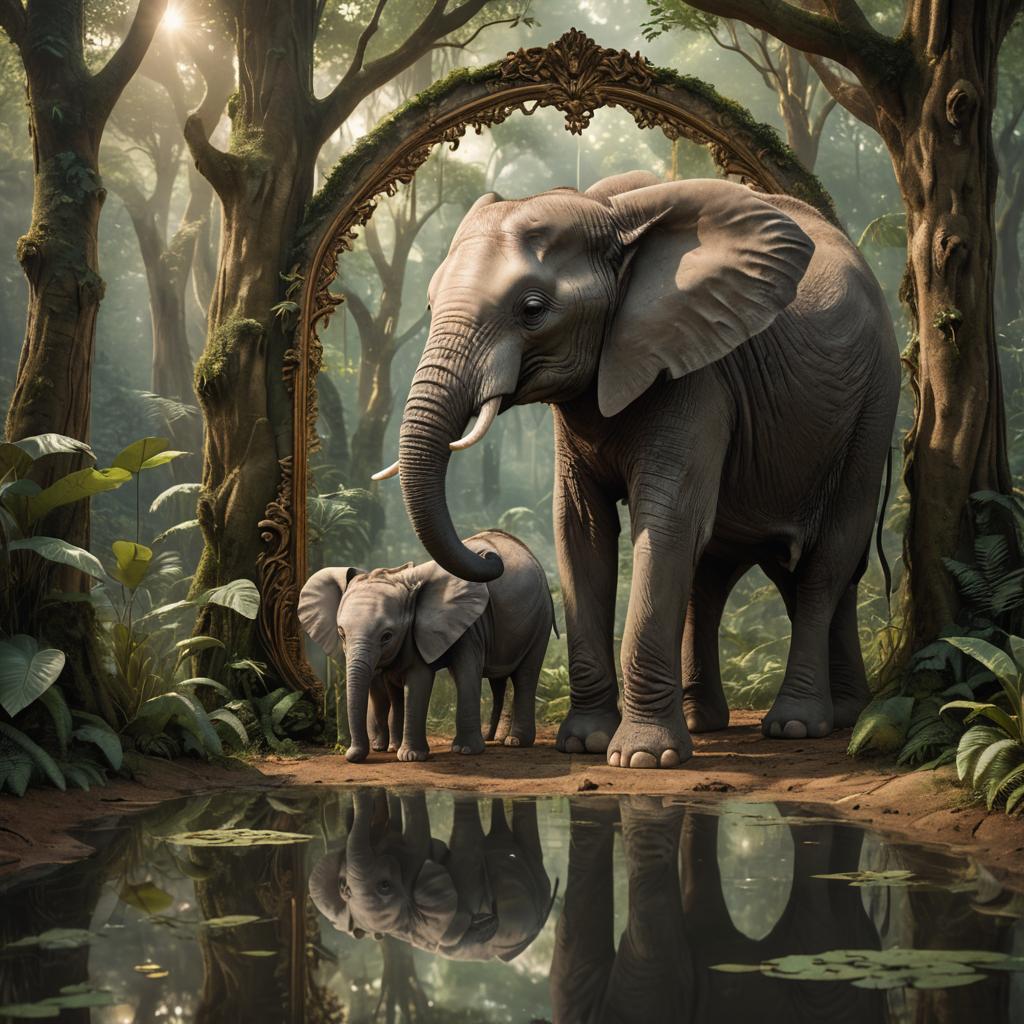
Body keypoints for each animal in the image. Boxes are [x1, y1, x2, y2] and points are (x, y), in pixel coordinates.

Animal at [298, 529, 554, 762]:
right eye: (341, 634)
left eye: (387, 636)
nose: (351, 755)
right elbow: (394, 683)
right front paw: (395, 750)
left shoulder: (468, 624)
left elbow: (427, 677)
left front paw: (416, 756)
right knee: (498, 679)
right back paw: (494, 739)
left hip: (541, 618)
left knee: (525, 675)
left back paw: (515, 742)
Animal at [378, 170, 900, 769]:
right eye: (429, 303)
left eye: (532, 310)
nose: (491, 557)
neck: (606, 213)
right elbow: (580, 529)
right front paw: (584, 743)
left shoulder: (697, 372)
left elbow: (665, 522)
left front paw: (643, 758)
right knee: (730, 573)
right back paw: (769, 718)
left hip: (872, 410)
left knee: (825, 560)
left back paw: (797, 725)